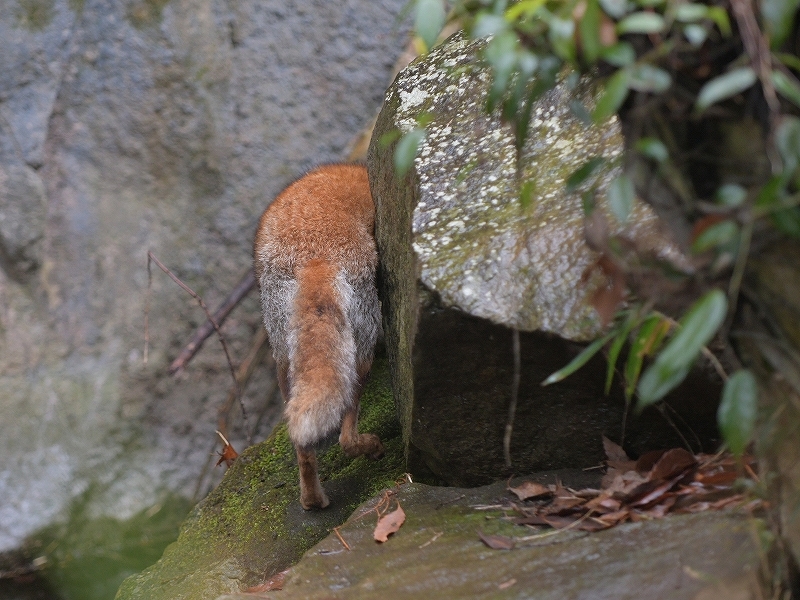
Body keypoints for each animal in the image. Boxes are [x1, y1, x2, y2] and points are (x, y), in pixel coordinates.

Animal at [253, 165, 384, 510]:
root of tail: (315, 255)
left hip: (285, 363)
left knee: (301, 443)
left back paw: (312, 500)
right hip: (361, 349)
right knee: (345, 435)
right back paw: (371, 447)